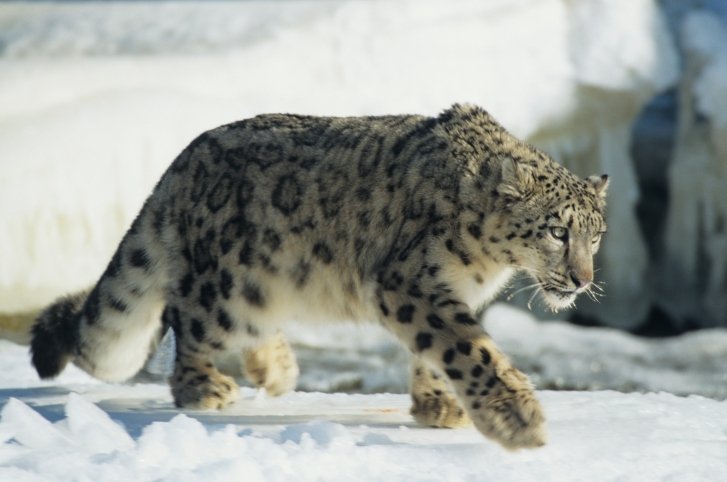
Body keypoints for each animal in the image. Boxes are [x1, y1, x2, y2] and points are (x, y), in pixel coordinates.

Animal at [30, 103, 608, 450]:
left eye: (597, 234)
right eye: (558, 232)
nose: (582, 280)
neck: (488, 267)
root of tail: (179, 165)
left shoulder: (452, 293)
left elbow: (434, 350)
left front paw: (438, 403)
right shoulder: (410, 283)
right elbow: (468, 347)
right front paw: (517, 418)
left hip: (259, 287)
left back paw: (276, 368)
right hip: (224, 287)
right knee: (185, 317)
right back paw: (204, 387)